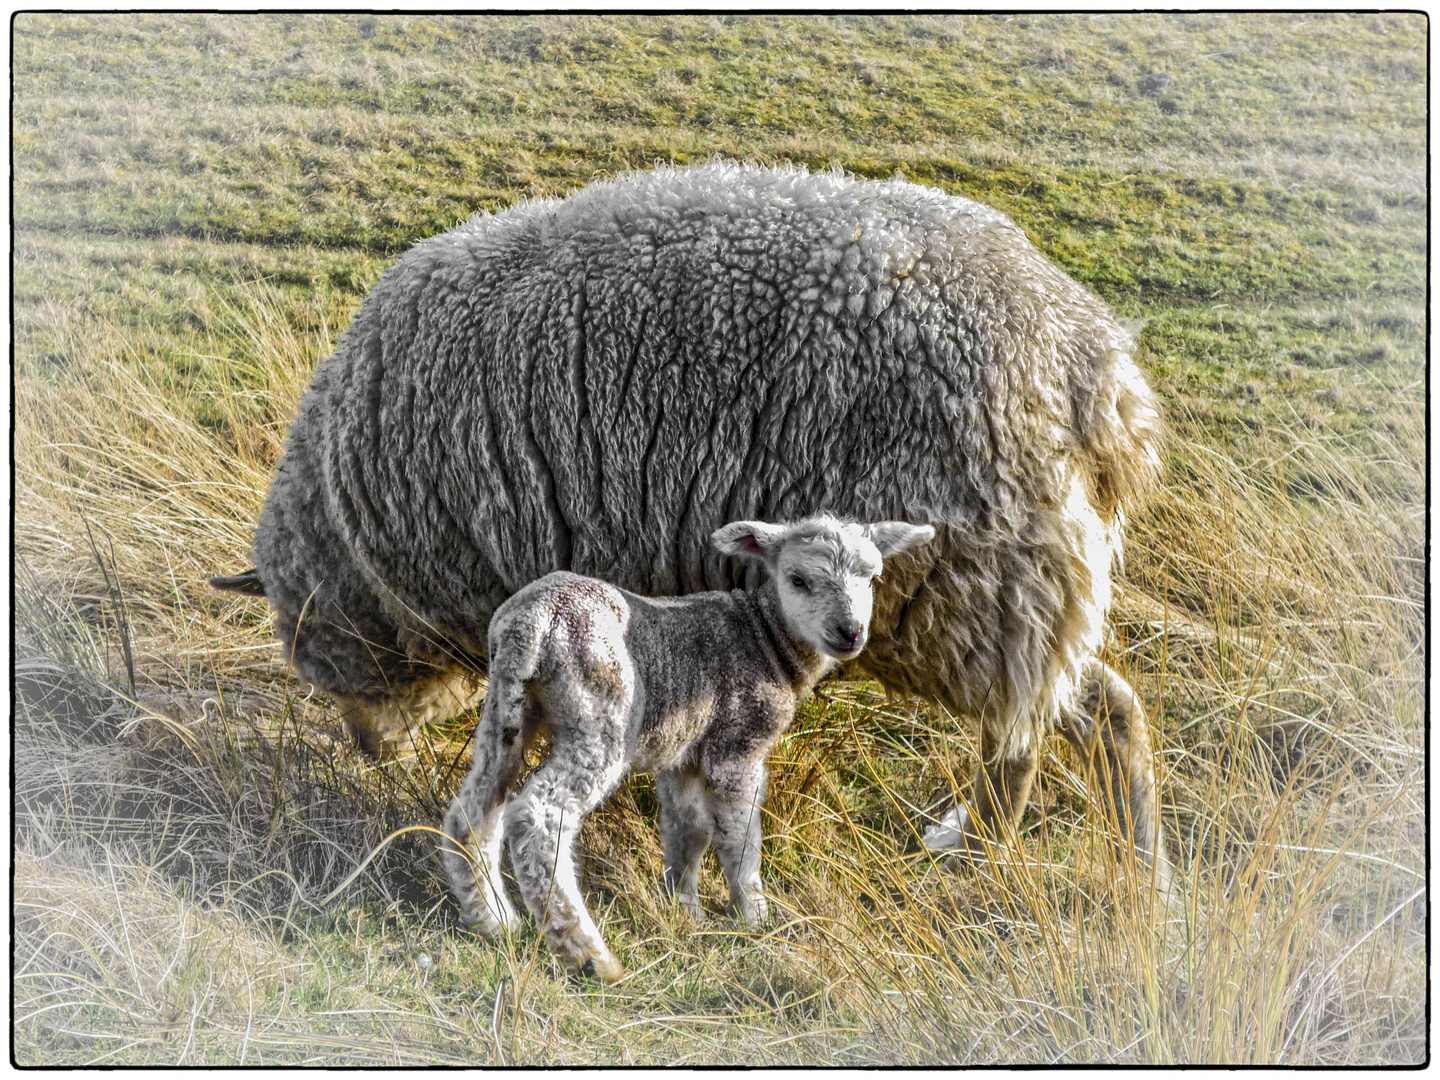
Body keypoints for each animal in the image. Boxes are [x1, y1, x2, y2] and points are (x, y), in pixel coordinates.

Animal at [216, 160, 1180, 898]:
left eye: (310, 657)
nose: (366, 753)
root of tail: (1101, 372)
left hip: (972, 587)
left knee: (1044, 727)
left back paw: (982, 850)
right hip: (1015, 588)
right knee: (1095, 708)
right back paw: (1140, 872)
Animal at [437, 521, 933, 984]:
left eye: (872, 578)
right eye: (797, 579)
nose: (850, 633)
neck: (766, 639)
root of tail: (535, 620)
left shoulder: (684, 756)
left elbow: (687, 830)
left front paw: (684, 910)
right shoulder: (737, 746)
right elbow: (740, 838)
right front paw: (755, 917)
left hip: (507, 706)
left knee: (472, 811)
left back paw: (493, 921)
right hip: (600, 712)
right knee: (539, 816)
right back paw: (588, 955)